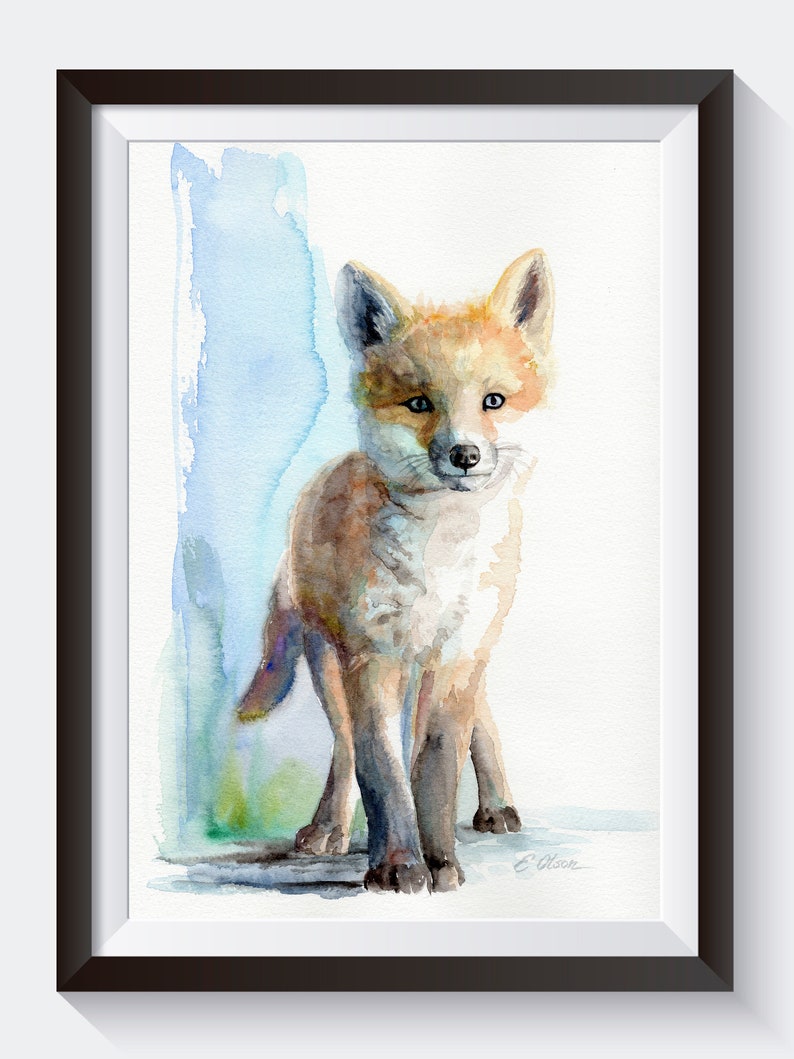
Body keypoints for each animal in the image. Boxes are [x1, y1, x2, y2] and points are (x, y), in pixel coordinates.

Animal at [237, 249, 554, 893]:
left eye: (493, 401)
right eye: (419, 403)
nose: (465, 455)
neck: (440, 556)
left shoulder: (457, 653)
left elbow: (434, 769)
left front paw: (441, 863)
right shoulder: (372, 654)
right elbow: (382, 770)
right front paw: (399, 865)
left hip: (461, 652)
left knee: (477, 721)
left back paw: (496, 806)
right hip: (329, 661)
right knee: (345, 748)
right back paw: (329, 830)